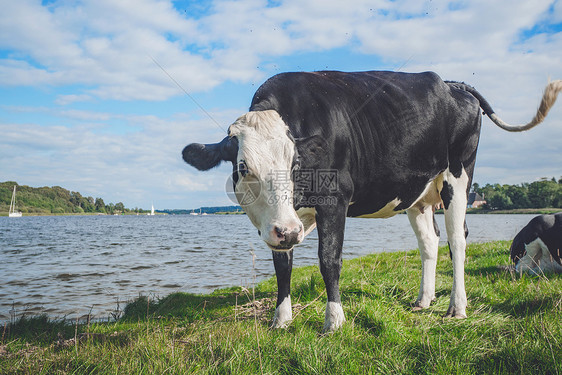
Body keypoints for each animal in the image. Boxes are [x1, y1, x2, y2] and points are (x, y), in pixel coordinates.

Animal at [182, 72, 556, 334]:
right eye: (243, 168)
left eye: (295, 164)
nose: (287, 232)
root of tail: (452, 84)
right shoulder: (282, 221)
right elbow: (282, 266)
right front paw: (281, 319)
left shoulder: (335, 200)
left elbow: (329, 261)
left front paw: (334, 321)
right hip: (418, 195)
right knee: (430, 241)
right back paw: (424, 300)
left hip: (459, 177)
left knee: (457, 240)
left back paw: (456, 307)